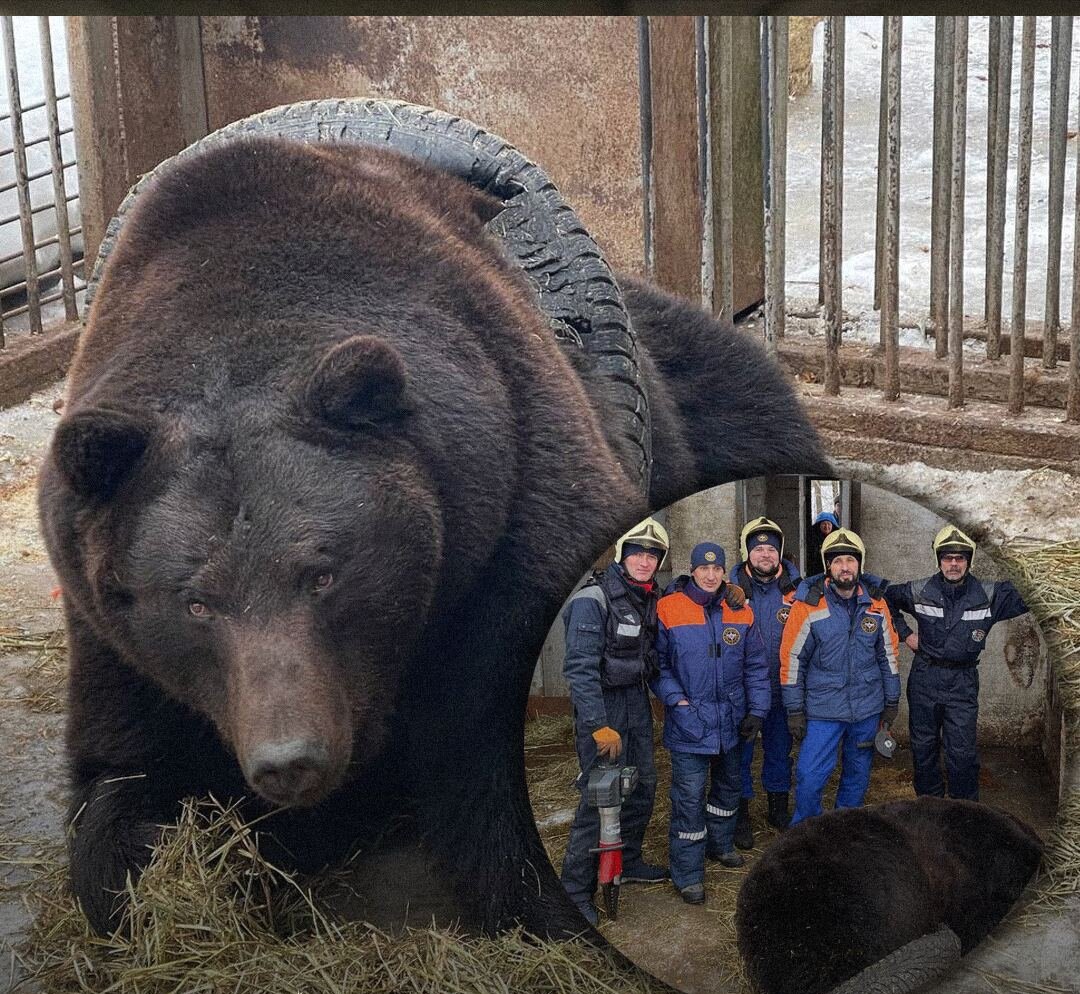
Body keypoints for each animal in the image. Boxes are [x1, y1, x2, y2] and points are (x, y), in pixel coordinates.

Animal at [38, 133, 820, 937]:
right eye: (195, 602)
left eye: (323, 573)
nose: (290, 759)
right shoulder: (117, 637)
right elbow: (126, 782)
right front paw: (176, 869)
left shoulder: (512, 494)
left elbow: (493, 740)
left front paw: (528, 884)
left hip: (708, 405)